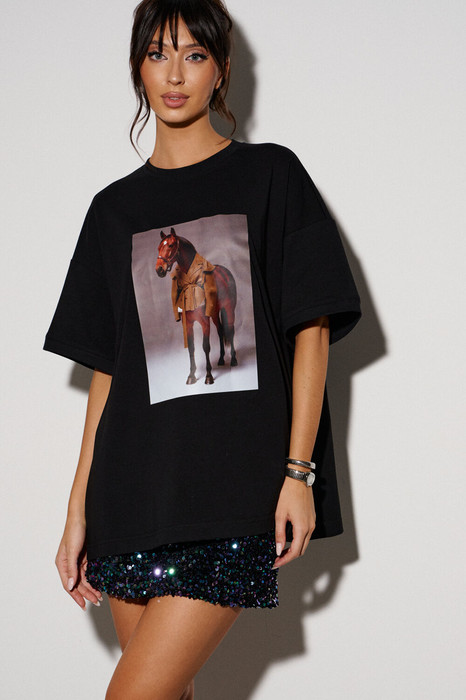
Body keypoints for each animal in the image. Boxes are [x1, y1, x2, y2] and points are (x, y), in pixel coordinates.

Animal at [155, 227, 237, 385]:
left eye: (170, 245)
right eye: (159, 247)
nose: (159, 269)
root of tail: (226, 272)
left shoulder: (204, 322)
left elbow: (205, 347)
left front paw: (208, 376)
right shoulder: (188, 323)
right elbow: (191, 348)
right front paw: (191, 375)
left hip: (229, 309)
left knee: (230, 331)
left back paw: (234, 359)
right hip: (215, 314)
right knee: (220, 331)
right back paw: (221, 359)